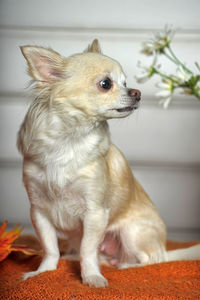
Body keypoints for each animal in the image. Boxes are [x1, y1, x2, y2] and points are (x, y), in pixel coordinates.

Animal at [17, 38, 200, 288]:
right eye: (106, 84)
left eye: (125, 82)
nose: (137, 92)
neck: (69, 140)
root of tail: (163, 246)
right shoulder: (39, 212)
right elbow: (50, 247)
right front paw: (43, 272)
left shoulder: (95, 212)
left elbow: (88, 250)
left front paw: (91, 277)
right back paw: (76, 258)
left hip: (132, 233)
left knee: (152, 261)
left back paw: (126, 266)